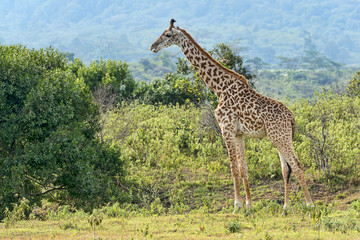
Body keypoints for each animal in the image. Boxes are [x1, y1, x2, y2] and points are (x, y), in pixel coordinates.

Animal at [149, 20, 312, 212]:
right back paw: (286, 207)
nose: (153, 46)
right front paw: (249, 205)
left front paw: (237, 206)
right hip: (280, 137)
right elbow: (244, 168)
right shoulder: (239, 133)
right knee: (286, 169)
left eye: (167, 35)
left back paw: (310, 204)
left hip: (280, 137)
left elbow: (233, 167)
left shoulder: (225, 129)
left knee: (297, 165)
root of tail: (292, 117)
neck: (220, 89)